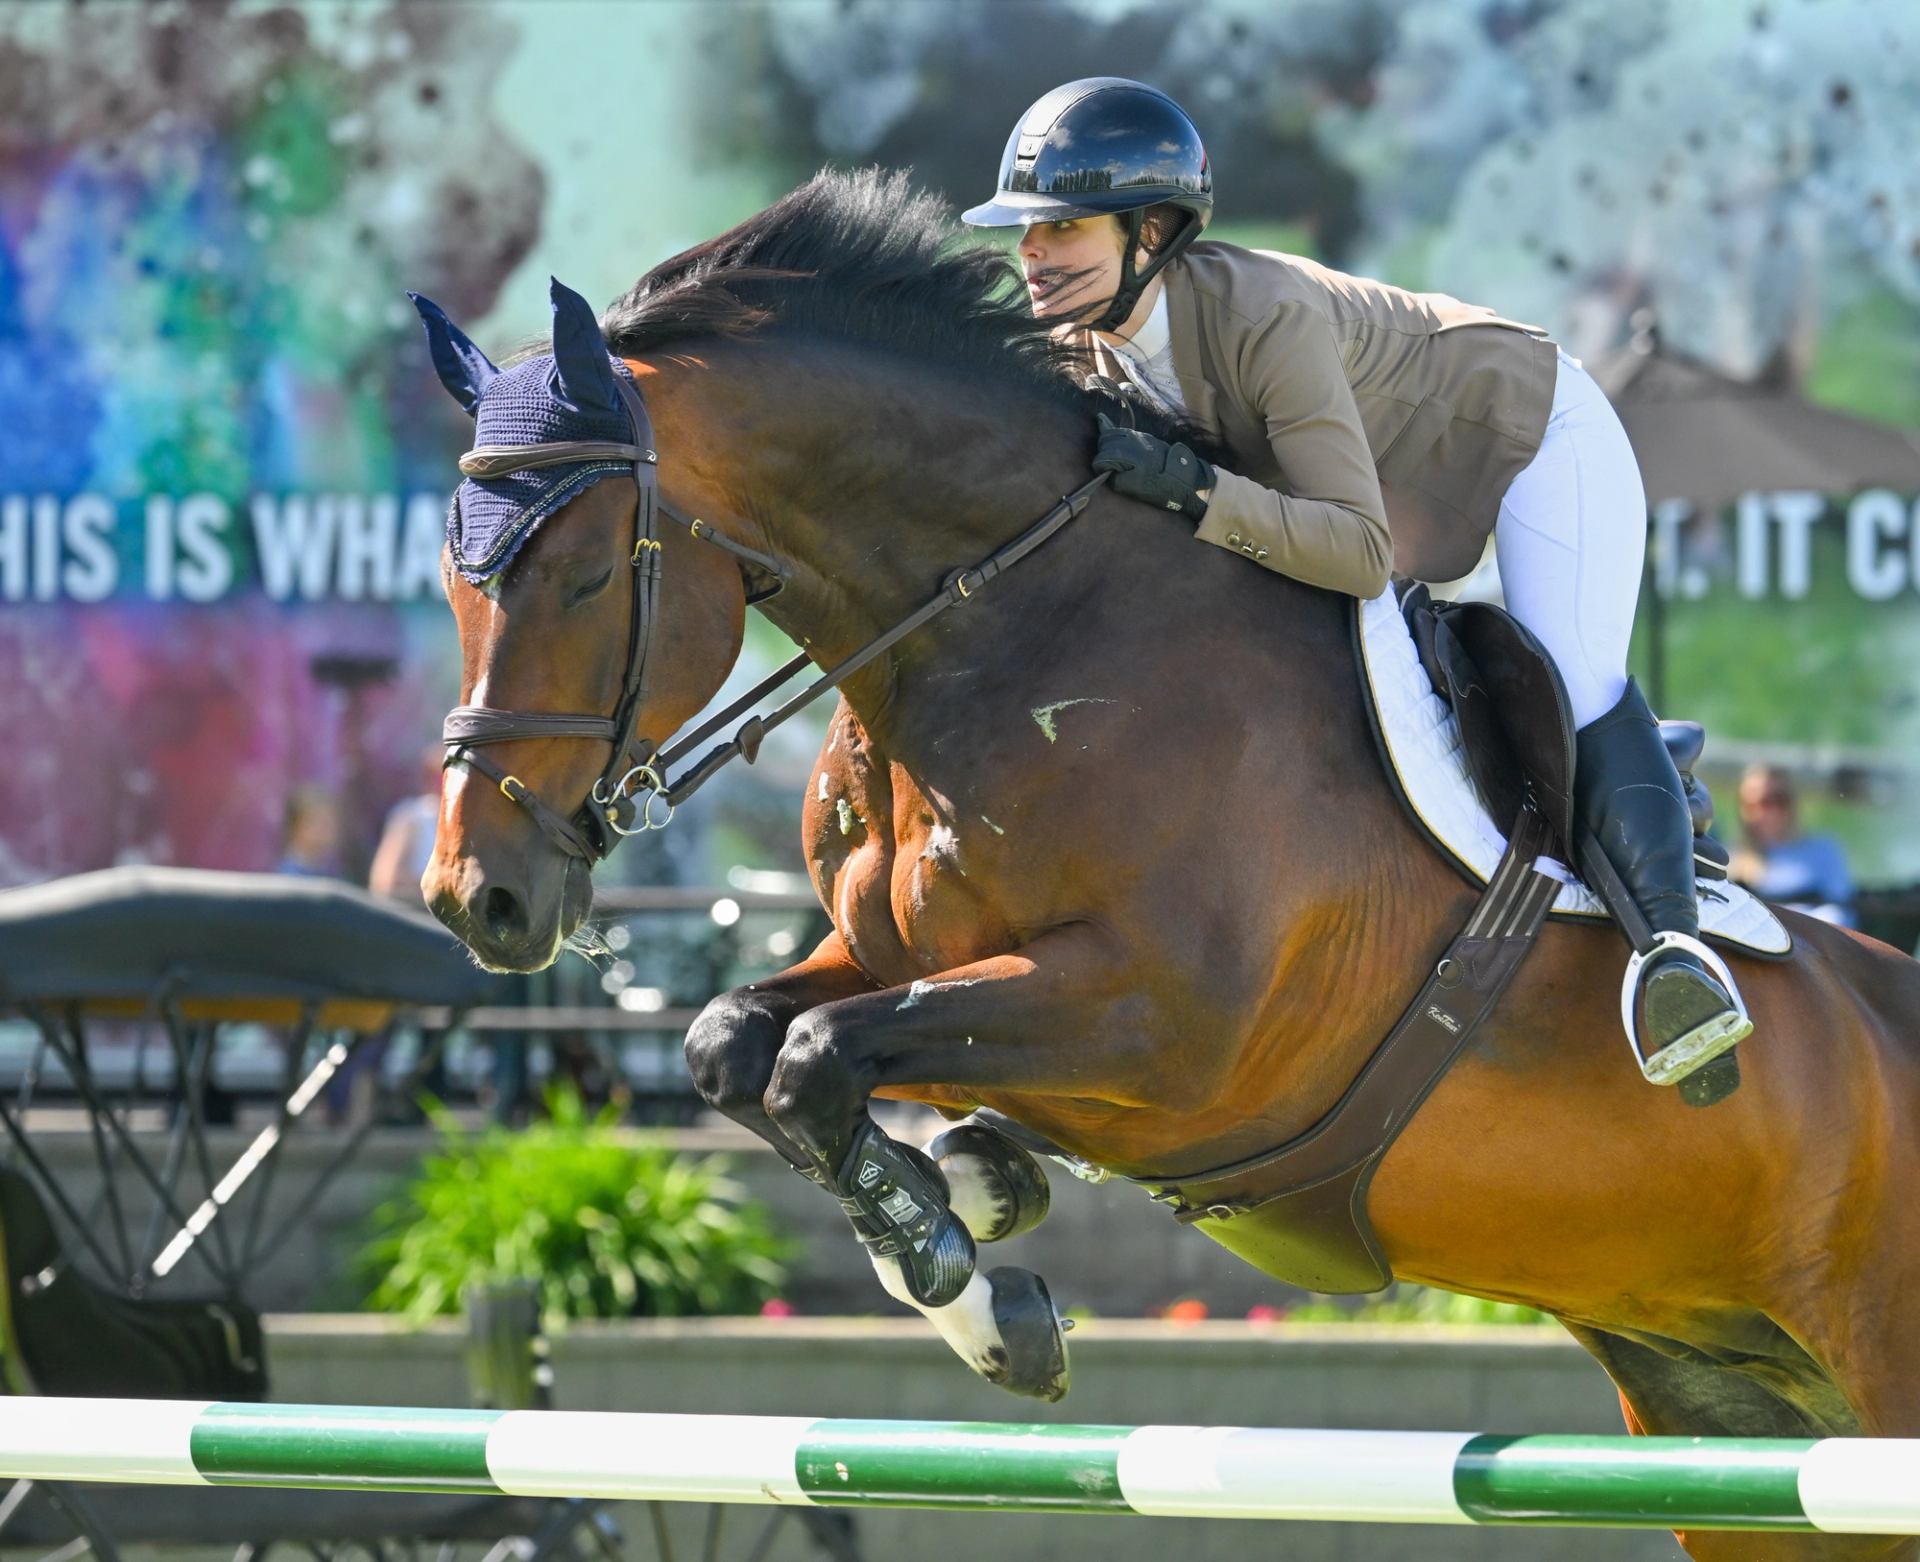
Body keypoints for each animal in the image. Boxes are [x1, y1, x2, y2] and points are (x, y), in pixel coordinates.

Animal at [419, 170, 1920, 1562]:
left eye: (582, 575)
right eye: (448, 577)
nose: (477, 897)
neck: (1010, 625)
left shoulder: (1165, 1024)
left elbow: (820, 1059)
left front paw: (971, 1272)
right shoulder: (907, 961)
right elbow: (743, 1042)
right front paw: (980, 1235)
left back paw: (1681, 992)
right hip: (1735, 1428)